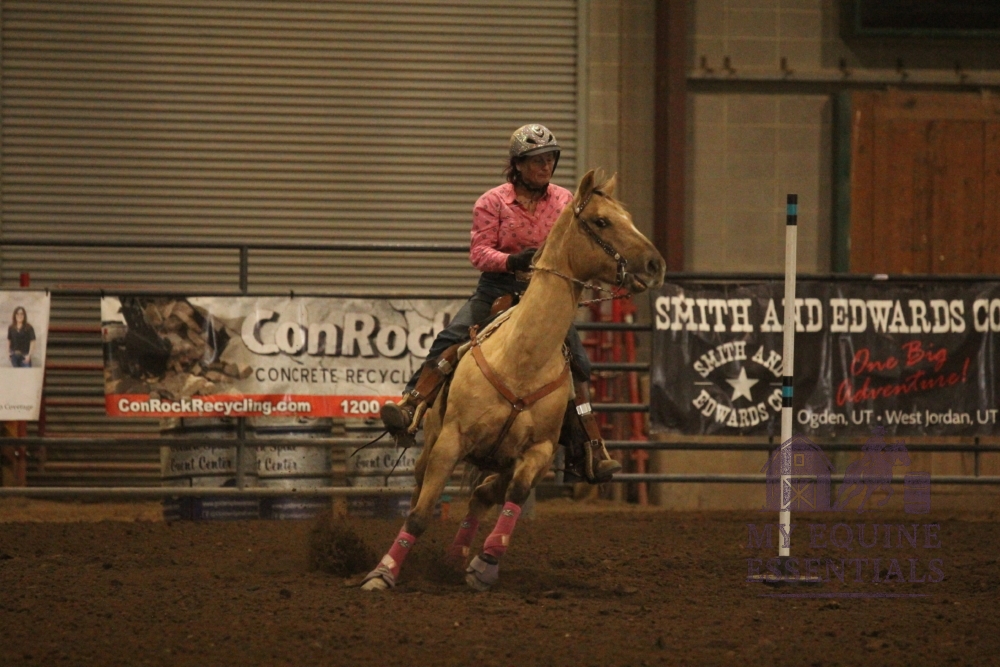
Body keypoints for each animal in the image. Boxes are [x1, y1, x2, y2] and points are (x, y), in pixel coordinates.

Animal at [361, 170, 666, 592]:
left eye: (630, 218)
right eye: (602, 221)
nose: (656, 264)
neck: (521, 359)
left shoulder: (537, 451)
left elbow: (516, 497)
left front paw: (486, 563)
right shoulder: (451, 441)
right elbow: (421, 513)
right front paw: (382, 573)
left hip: (500, 460)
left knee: (483, 494)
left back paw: (457, 558)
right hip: (433, 441)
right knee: (423, 491)